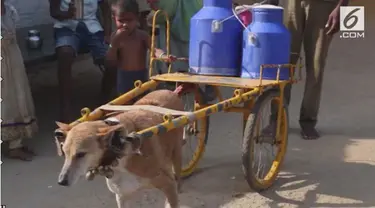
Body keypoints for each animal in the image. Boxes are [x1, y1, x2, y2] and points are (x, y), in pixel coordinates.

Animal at [55, 90, 184, 208]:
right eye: (64, 152)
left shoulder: (168, 185)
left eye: (81, 154)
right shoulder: (122, 196)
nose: (61, 182)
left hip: (176, 155)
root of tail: (169, 91)